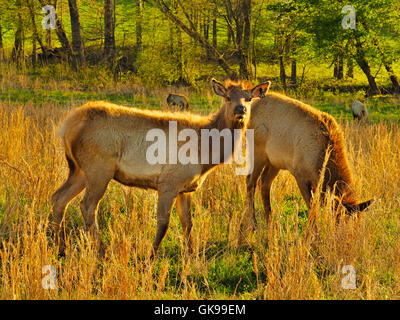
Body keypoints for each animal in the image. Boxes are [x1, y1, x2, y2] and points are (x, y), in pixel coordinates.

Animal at [51, 79, 272, 258]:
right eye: (227, 97)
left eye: (248, 98)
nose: (240, 110)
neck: (206, 153)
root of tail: (67, 127)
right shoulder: (169, 182)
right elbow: (163, 223)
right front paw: (151, 256)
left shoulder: (185, 187)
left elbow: (187, 222)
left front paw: (190, 255)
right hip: (98, 167)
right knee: (87, 206)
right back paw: (102, 251)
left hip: (79, 170)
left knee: (58, 198)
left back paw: (61, 248)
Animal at [245, 91, 374, 231]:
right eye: (341, 221)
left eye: (357, 223)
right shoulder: (300, 175)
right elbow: (312, 208)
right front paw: (313, 233)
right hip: (257, 152)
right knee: (250, 182)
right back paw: (253, 224)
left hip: (274, 161)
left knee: (264, 183)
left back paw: (270, 222)